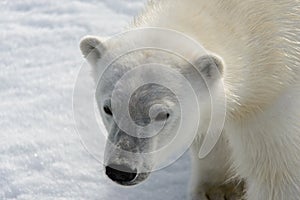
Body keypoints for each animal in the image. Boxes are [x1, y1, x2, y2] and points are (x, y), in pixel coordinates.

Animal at [79, 0, 300, 200]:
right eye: (108, 108)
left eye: (163, 114)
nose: (121, 170)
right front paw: (217, 190)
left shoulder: (274, 104)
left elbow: (276, 176)